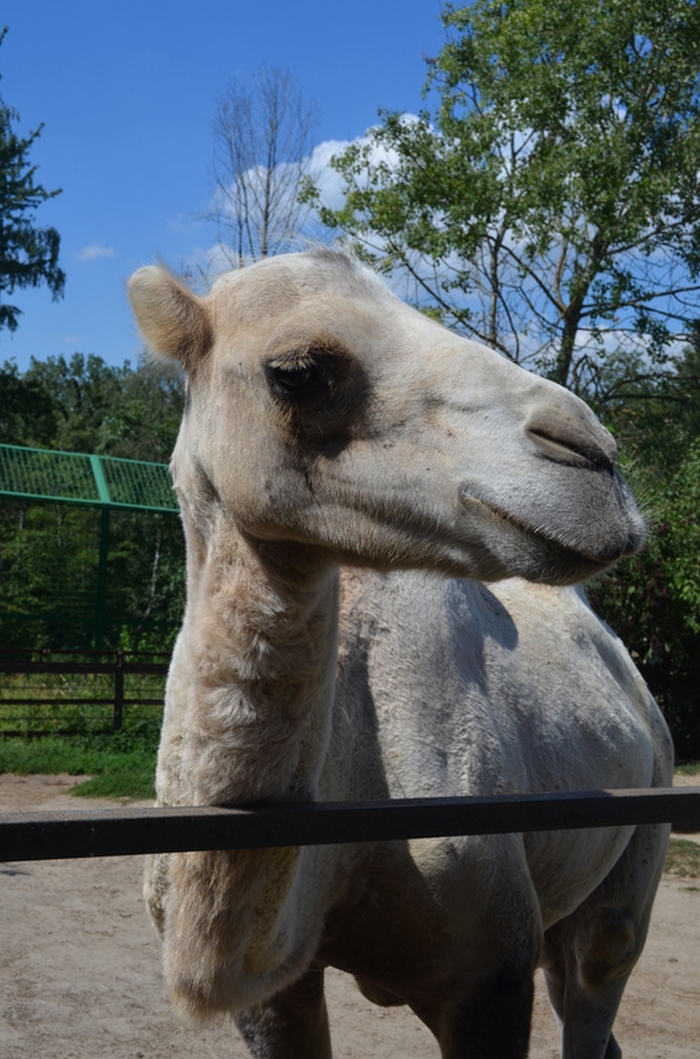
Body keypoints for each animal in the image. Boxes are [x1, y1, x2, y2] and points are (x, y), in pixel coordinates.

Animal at [129, 249, 673, 1059]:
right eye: (299, 371)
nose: (594, 457)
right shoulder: (273, 997)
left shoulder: (488, 977)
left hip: (642, 843)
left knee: (602, 967)